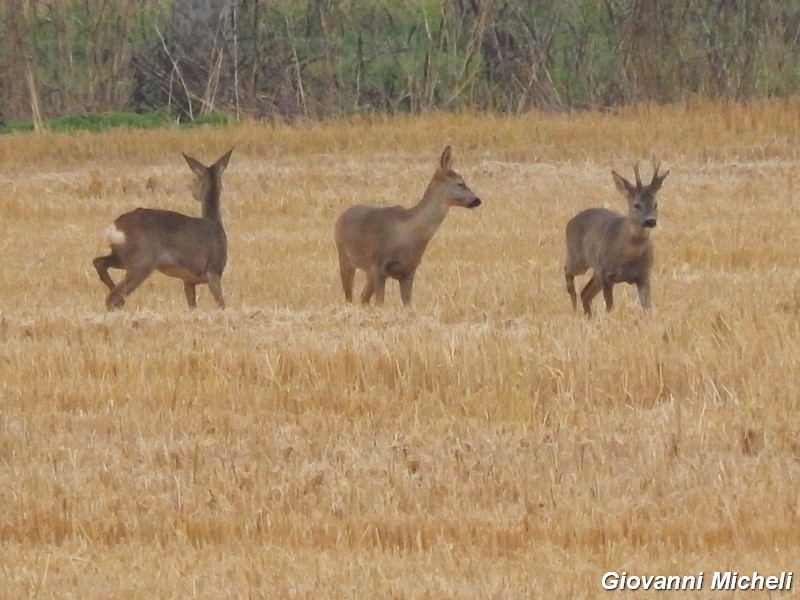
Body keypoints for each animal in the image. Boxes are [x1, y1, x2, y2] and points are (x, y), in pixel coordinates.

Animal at [93, 149, 233, 310]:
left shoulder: (188, 280)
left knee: (98, 262)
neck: (215, 222)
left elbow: (192, 305)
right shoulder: (214, 270)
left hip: (122, 257)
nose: (192, 192)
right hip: (142, 260)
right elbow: (222, 303)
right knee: (113, 296)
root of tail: (115, 227)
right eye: (194, 180)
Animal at [332, 144, 478, 304]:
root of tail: (341, 216)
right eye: (461, 183)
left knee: (363, 297)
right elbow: (380, 303)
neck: (407, 234)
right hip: (344, 256)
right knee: (349, 297)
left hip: (367, 271)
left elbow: (408, 304)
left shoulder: (409, 270)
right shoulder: (378, 266)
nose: (477, 200)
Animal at [564, 159, 668, 318]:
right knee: (567, 271)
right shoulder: (607, 273)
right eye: (636, 205)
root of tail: (570, 222)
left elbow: (647, 308)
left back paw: (588, 316)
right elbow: (610, 306)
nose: (650, 221)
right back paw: (574, 302)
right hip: (579, 259)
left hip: (596, 271)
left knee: (585, 293)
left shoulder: (643, 275)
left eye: (656, 204)